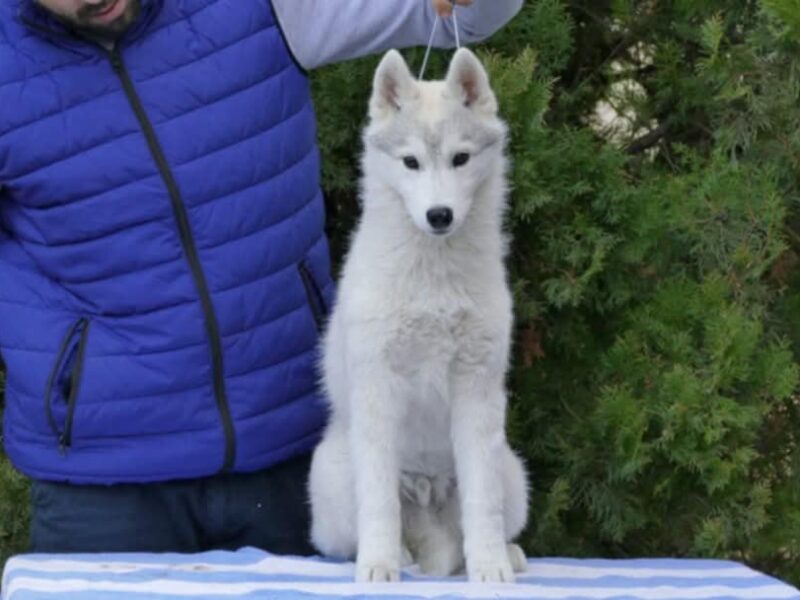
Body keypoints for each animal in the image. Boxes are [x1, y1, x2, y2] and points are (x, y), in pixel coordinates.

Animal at [310, 49, 528, 584]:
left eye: (460, 159)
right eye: (410, 162)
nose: (439, 215)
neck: (434, 277)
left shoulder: (476, 388)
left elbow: (482, 503)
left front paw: (490, 568)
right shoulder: (377, 386)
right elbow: (379, 505)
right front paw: (378, 567)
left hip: (513, 472)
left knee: (471, 531)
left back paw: (502, 554)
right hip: (332, 476)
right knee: (363, 534)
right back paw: (400, 557)